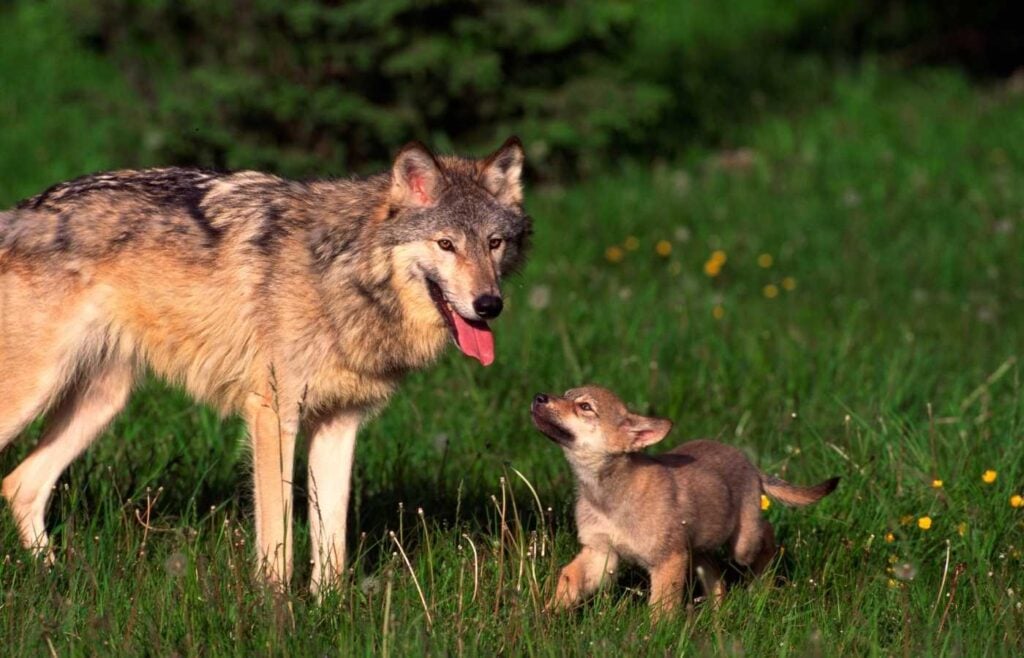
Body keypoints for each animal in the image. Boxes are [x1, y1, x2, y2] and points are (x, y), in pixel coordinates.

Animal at [0, 139, 528, 593]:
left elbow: (332, 542)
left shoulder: (339, 424)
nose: (490, 304)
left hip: (101, 404)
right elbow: (278, 540)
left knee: (21, 484)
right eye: (446, 244)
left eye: (494, 243)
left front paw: (330, 610)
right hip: (34, 397)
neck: (342, 273)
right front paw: (275, 614)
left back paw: (59, 579)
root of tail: (18, 212)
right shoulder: (274, 416)